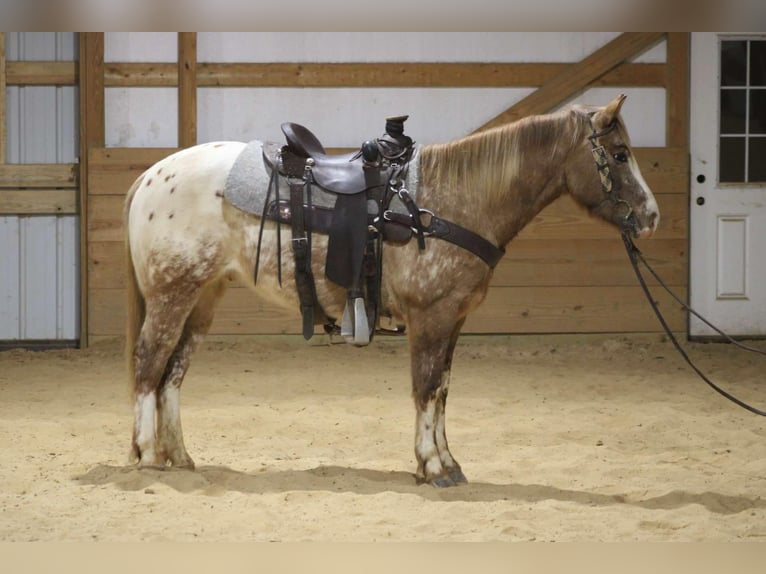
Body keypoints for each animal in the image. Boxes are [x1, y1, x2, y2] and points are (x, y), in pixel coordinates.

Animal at [124, 95, 660, 490]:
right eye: (619, 154)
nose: (651, 216)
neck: (448, 203)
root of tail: (150, 176)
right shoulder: (431, 317)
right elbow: (425, 388)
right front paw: (433, 467)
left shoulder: (454, 321)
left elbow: (441, 391)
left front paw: (447, 462)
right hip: (172, 294)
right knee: (149, 365)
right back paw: (148, 456)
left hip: (202, 299)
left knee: (172, 373)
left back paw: (180, 457)